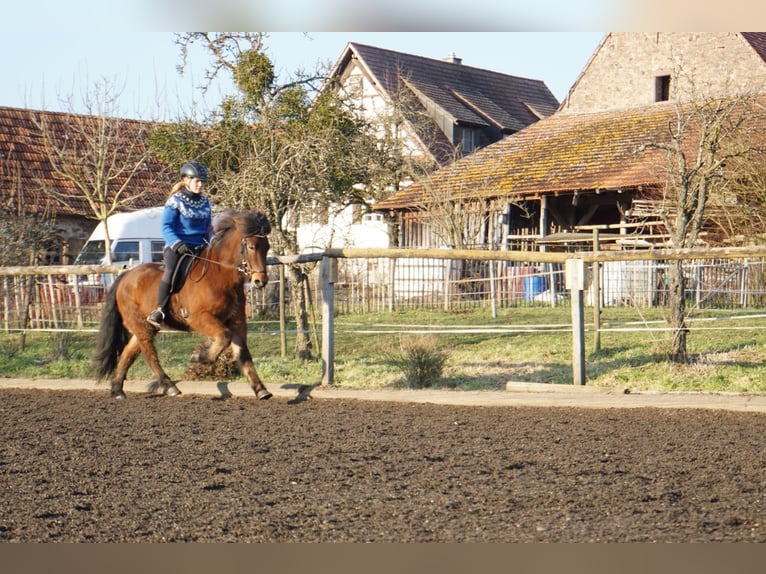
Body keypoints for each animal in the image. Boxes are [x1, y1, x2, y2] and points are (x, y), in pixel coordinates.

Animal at [93, 209, 274, 402]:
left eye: (267, 246)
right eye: (252, 247)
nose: (260, 281)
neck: (220, 275)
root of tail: (125, 276)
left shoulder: (237, 322)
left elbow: (244, 355)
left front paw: (261, 389)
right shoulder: (199, 318)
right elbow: (224, 336)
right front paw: (199, 357)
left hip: (145, 326)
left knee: (129, 352)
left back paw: (117, 389)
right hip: (140, 324)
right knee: (149, 354)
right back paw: (169, 386)